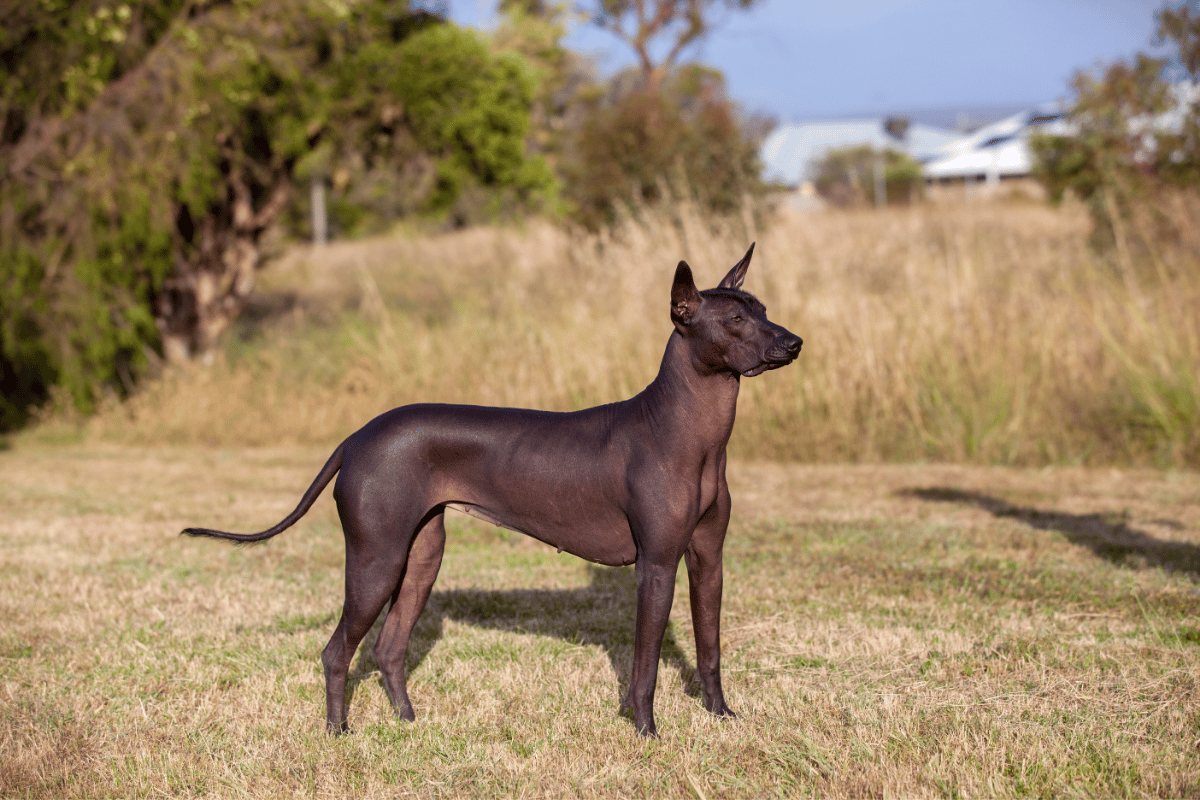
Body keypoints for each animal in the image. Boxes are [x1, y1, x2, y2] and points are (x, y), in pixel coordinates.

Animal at [182, 245, 801, 738]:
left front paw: (721, 716)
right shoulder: (656, 565)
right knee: (338, 651)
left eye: (765, 311)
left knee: (388, 647)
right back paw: (339, 732)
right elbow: (645, 663)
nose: (794, 342)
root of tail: (358, 436)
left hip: (421, 556)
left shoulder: (708, 559)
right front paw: (646, 731)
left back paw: (408, 722)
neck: (687, 432)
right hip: (377, 559)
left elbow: (710, 646)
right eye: (736, 319)